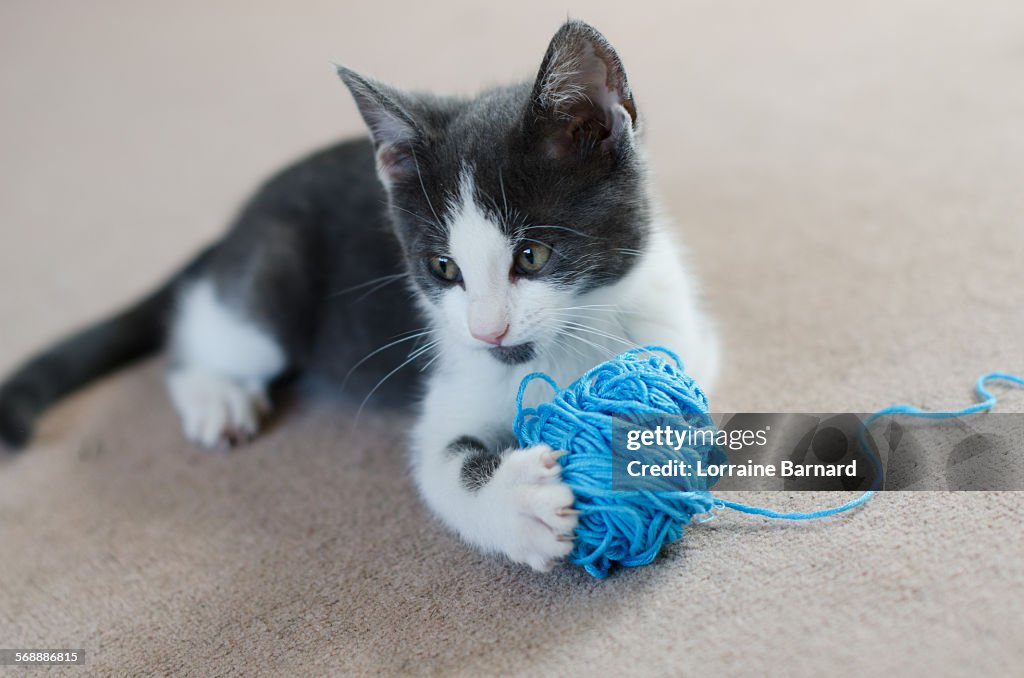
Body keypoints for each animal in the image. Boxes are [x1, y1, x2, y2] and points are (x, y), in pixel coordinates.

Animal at [0, 19, 716, 573]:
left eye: (532, 256)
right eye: (443, 267)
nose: (486, 331)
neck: (562, 354)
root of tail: (238, 223)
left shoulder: (682, 341)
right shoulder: (449, 384)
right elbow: (442, 467)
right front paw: (521, 507)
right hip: (272, 282)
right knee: (203, 331)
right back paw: (216, 395)